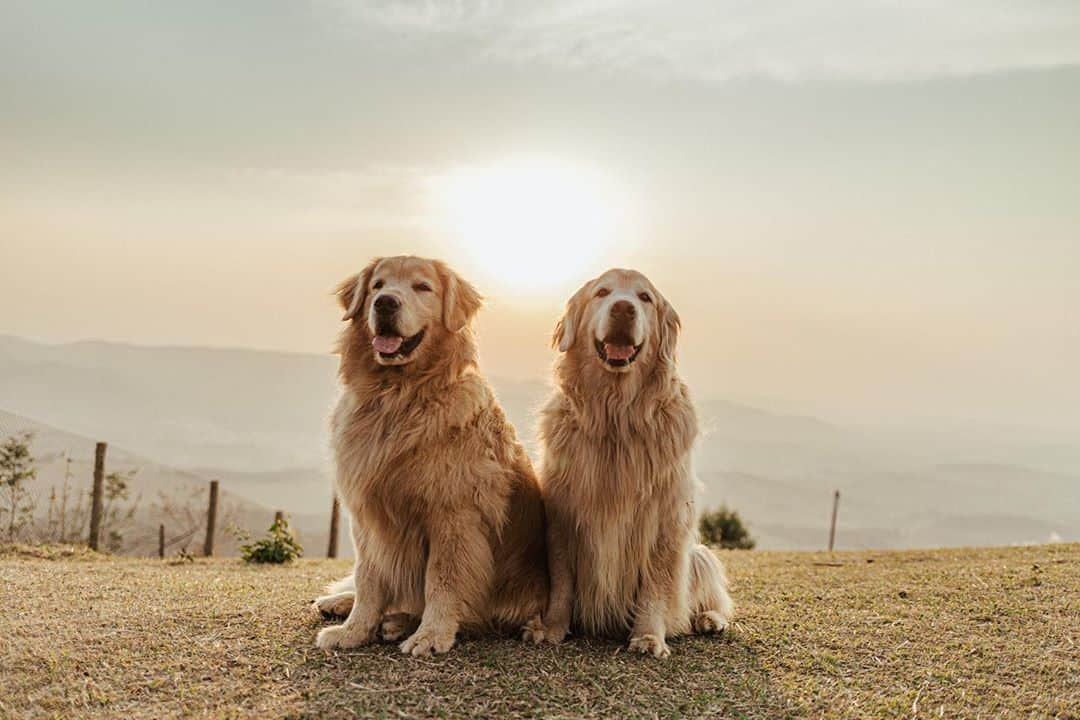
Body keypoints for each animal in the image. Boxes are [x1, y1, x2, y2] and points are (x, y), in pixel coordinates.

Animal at [313, 255, 548, 656]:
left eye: (423, 287)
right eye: (377, 285)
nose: (385, 303)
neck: (399, 396)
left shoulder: (455, 517)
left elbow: (442, 580)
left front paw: (431, 634)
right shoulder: (369, 516)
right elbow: (368, 579)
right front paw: (354, 630)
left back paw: (399, 623)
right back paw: (342, 604)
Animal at [522, 268, 734, 660]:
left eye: (645, 297)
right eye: (602, 292)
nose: (623, 308)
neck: (615, 415)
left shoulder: (665, 517)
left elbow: (655, 583)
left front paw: (649, 636)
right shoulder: (562, 513)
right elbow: (562, 580)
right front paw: (551, 628)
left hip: (698, 556)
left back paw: (708, 619)